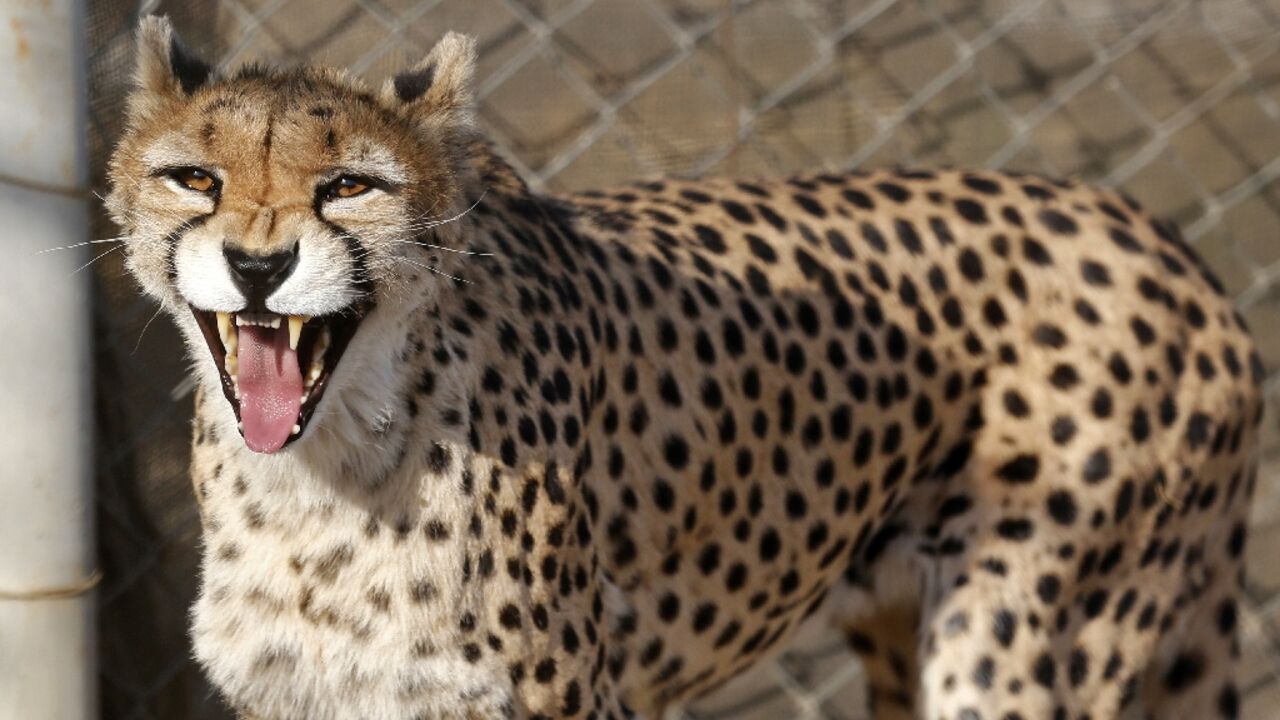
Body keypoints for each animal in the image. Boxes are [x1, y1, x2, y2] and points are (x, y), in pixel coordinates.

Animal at [107, 16, 1259, 717]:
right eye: (195, 178)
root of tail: (1164, 239)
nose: (259, 266)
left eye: (349, 185)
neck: (325, 468)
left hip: (1019, 649)